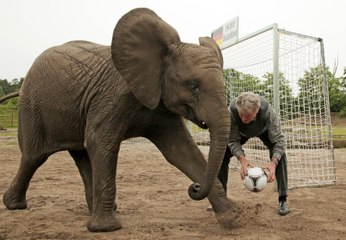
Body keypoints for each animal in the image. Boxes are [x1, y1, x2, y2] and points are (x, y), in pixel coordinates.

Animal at [2, 7, 232, 232]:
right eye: (193, 85)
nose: (194, 188)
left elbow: (180, 151)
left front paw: (232, 217)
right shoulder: (112, 96)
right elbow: (102, 141)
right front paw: (106, 228)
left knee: (81, 155)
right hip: (32, 107)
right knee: (34, 157)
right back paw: (13, 204)